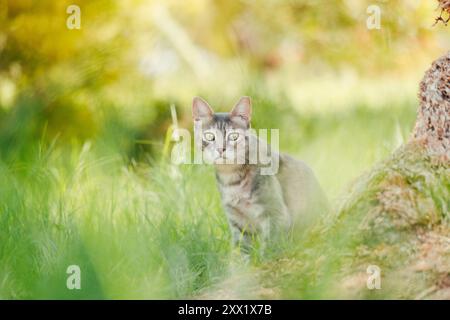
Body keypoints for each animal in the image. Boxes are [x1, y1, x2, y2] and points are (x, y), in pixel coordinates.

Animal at [192, 96, 328, 251]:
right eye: (210, 136)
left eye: (234, 136)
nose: (221, 149)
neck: (231, 179)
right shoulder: (238, 223)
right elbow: (240, 252)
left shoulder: (276, 216)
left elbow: (269, 249)